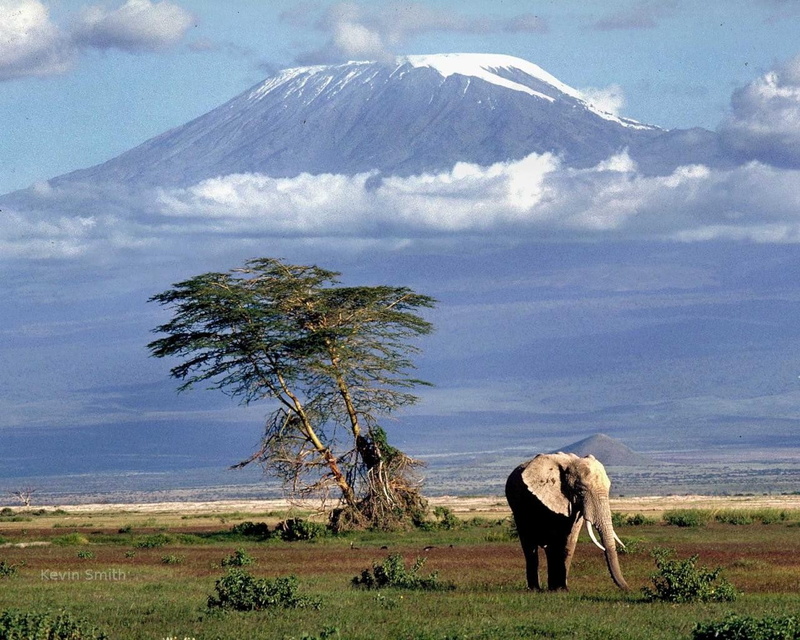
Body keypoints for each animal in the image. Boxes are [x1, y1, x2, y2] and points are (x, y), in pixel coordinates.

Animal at [505, 452, 628, 591]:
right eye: (581, 491)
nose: (628, 588)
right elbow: (555, 538)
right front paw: (558, 589)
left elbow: (570, 539)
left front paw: (562, 589)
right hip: (517, 507)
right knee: (529, 545)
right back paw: (535, 589)